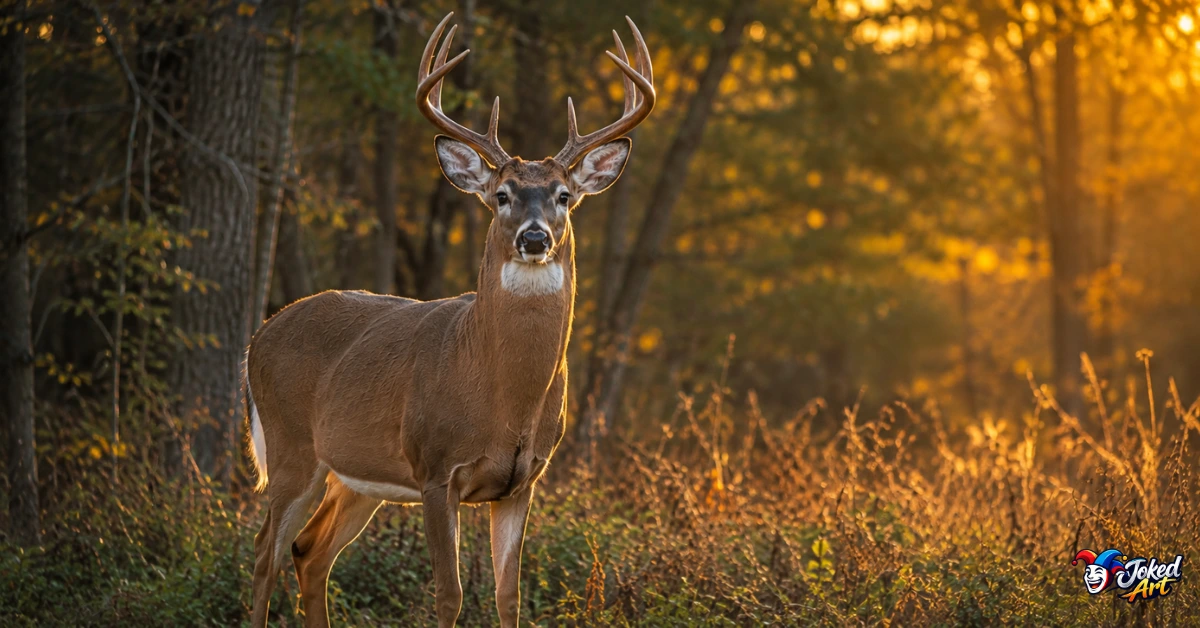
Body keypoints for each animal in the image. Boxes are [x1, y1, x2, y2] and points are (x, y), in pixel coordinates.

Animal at [245, 12, 654, 628]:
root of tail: (259, 335)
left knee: (308, 552)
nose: (535, 238)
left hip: (358, 475)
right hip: (292, 446)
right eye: (502, 194)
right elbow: (450, 593)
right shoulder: (437, 468)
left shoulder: (523, 481)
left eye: (563, 195)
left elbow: (509, 595)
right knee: (263, 554)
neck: (504, 399)